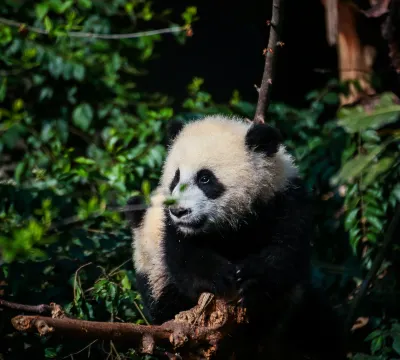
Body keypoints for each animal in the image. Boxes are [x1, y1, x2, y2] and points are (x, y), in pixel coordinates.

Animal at [126, 115, 346, 360]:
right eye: (176, 177)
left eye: (205, 178)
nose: (180, 211)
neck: (230, 224)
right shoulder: (172, 234)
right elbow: (185, 261)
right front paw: (220, 277)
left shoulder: (283, 200)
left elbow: (287, 253)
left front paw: (252, 278)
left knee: (319, 328)